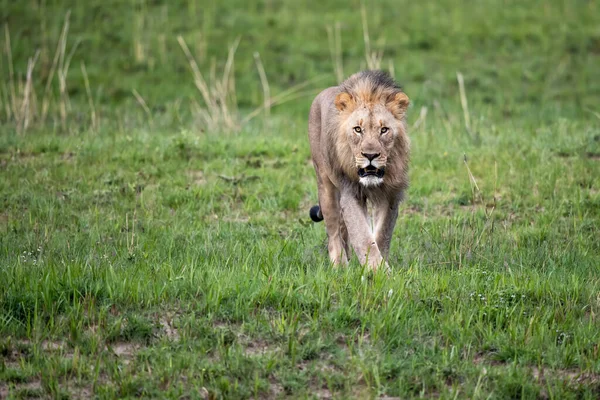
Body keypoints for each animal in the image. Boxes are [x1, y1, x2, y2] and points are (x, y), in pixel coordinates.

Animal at [308, 71, 410, 272]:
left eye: (384, 130)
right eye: (357, 129)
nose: (370, 155)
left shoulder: (390, 195)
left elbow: (381, 235)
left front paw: (378, 268)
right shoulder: (351, 192)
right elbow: (363, 237)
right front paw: (377, 271)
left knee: (343, 228)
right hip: (325, 185)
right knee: (333, 233)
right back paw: (340, 267)